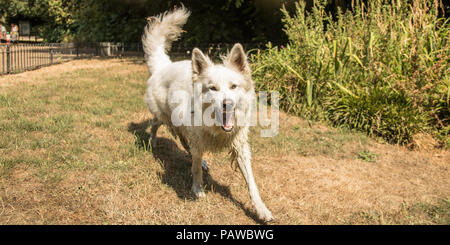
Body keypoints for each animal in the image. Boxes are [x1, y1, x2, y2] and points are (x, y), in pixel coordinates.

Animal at [142, 6, 274, 222]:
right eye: (212, 88)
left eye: (233, 86)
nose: (227, 104)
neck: (217, 128)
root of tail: (164, 65)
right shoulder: (197, 139)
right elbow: (194, 168)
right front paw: (197, 189)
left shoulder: (240, 148)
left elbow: (252, 184)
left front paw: (261, 209)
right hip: (166, 117)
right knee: (156, 125)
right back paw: (152, 141)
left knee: (183, 141)